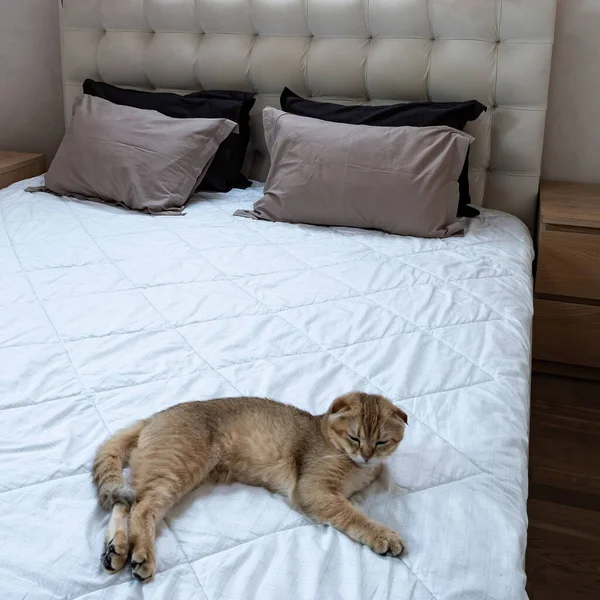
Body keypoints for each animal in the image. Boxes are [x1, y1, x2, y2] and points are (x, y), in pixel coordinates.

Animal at [92, 390, 408, 580]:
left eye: (382, 441)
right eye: (355, 437)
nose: (366, 454)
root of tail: (151, 418)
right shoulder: (314, 491)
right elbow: (353, 515)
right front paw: (385, 535)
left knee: (124, 501)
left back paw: (116, 549)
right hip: (177, 467)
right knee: (142, 507)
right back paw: (141, 554)